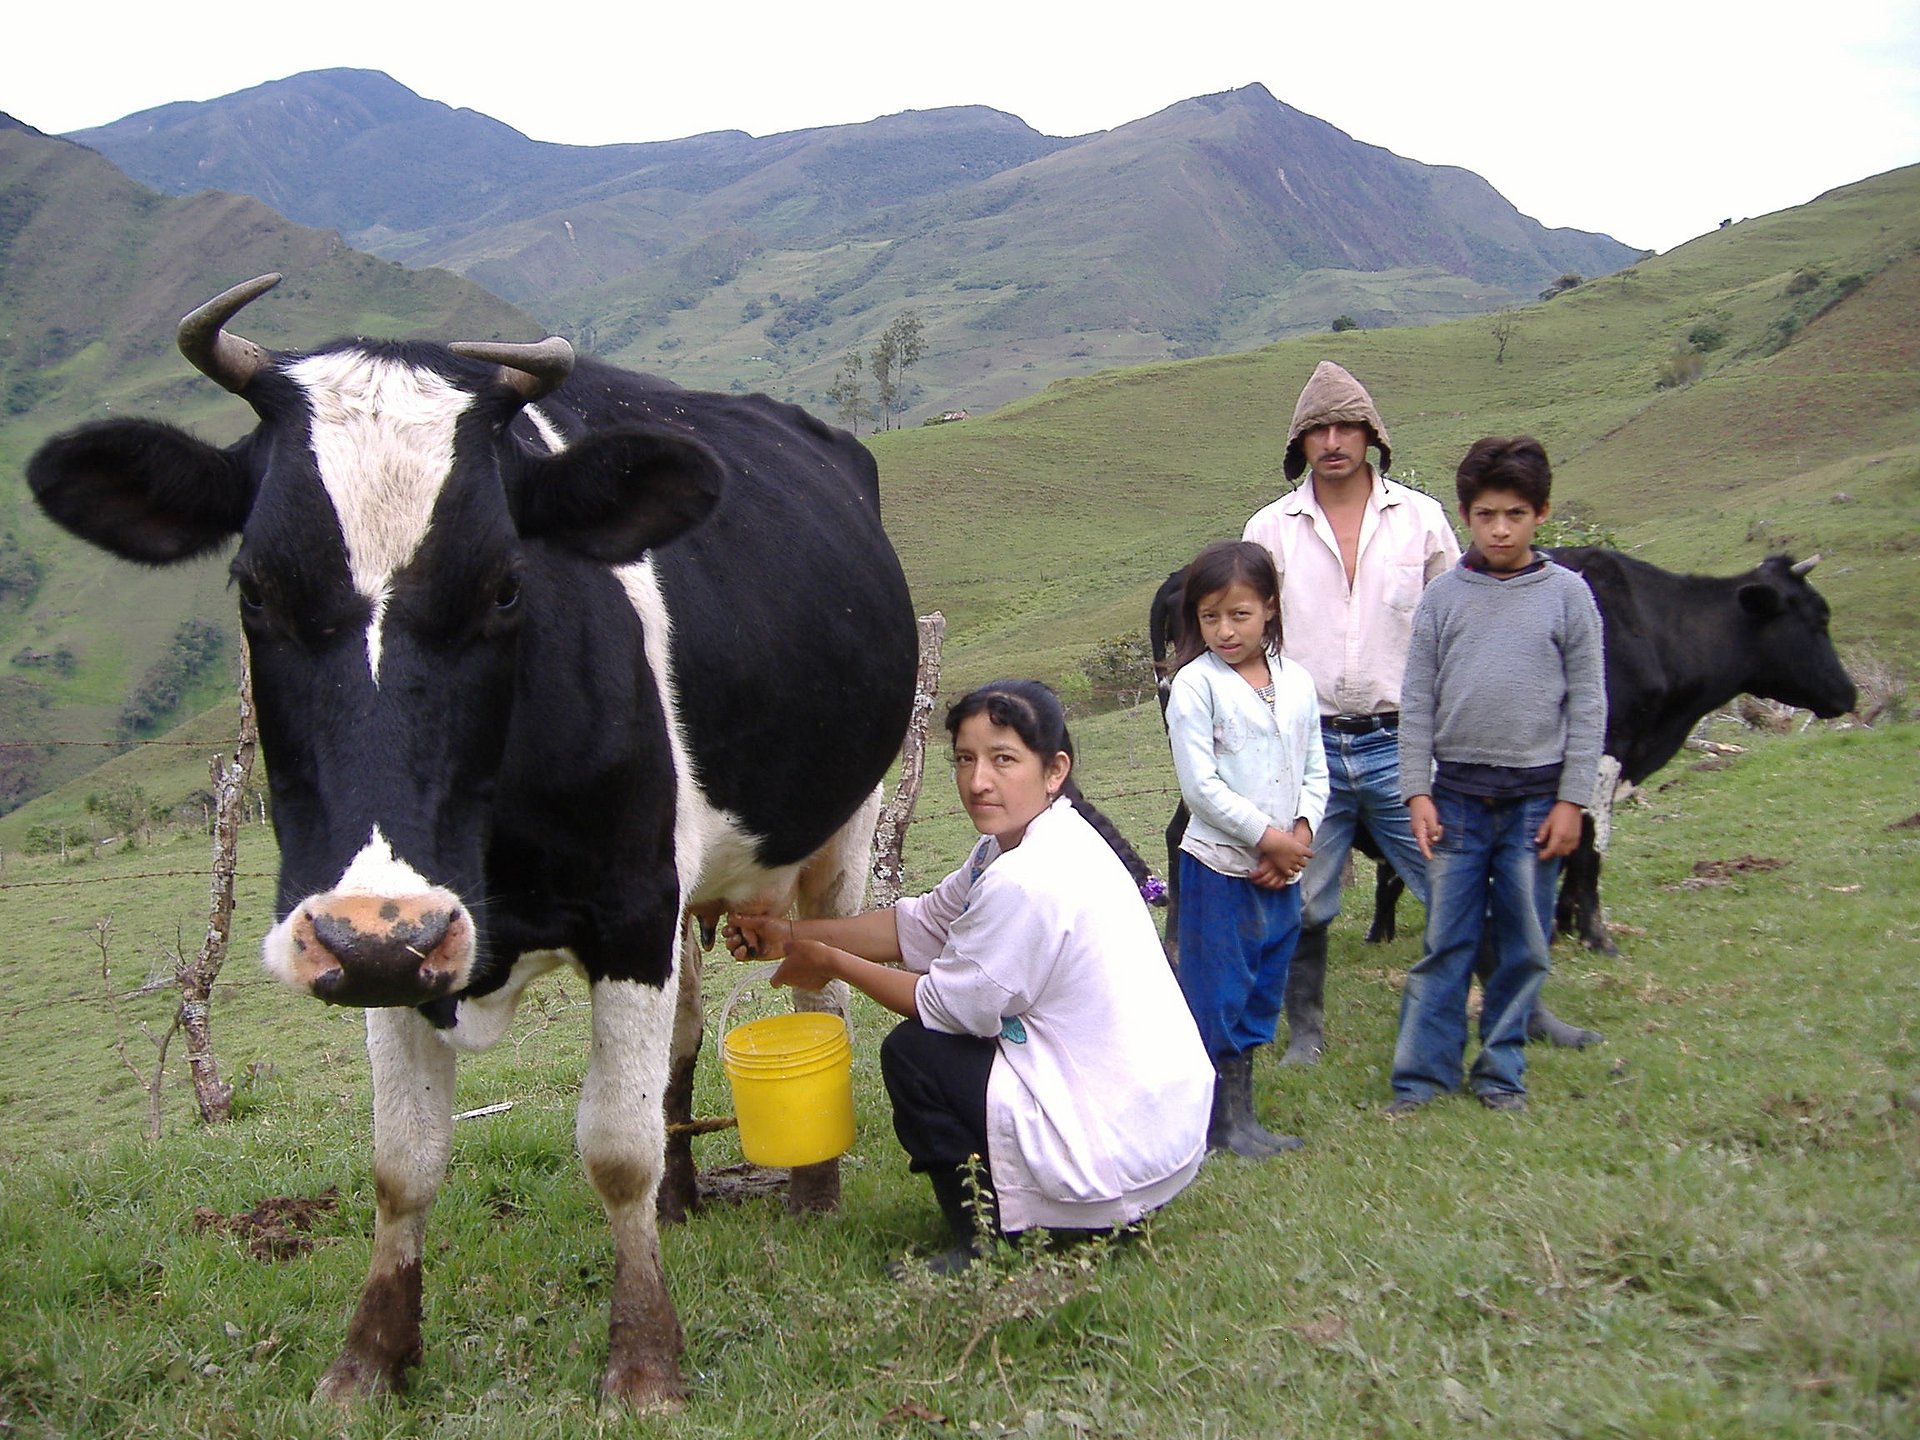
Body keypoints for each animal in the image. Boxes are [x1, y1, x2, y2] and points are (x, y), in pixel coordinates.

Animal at [26, 276, 917, 1413]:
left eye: (505, 585)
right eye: (254, 588)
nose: (372, 937)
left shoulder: (625, 903)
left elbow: (613, 1146)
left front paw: (644, 1360)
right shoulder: (392, 936)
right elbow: (403, 1161)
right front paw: (368, 1358)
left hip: (841, 827)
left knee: (819, 999)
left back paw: (812, 1193)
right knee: (686, 1028)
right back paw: (682, 1200)